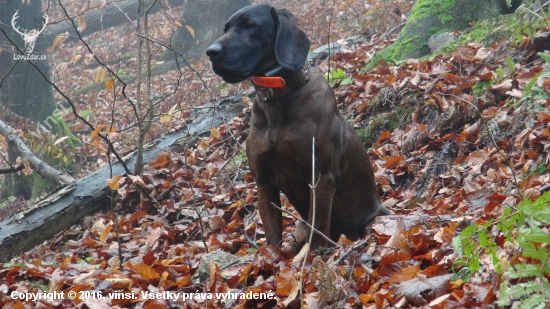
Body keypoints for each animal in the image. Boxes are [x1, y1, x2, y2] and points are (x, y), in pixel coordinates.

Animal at [207, 3, 392, 253]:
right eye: (226, 28)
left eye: (250, 26)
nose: (210, 52)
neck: (278, 99)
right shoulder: (263, 182)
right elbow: (272, 238)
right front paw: (272, 262)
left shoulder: (320, 176)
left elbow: (318, 228)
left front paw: (313, 258)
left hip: (374, 221)